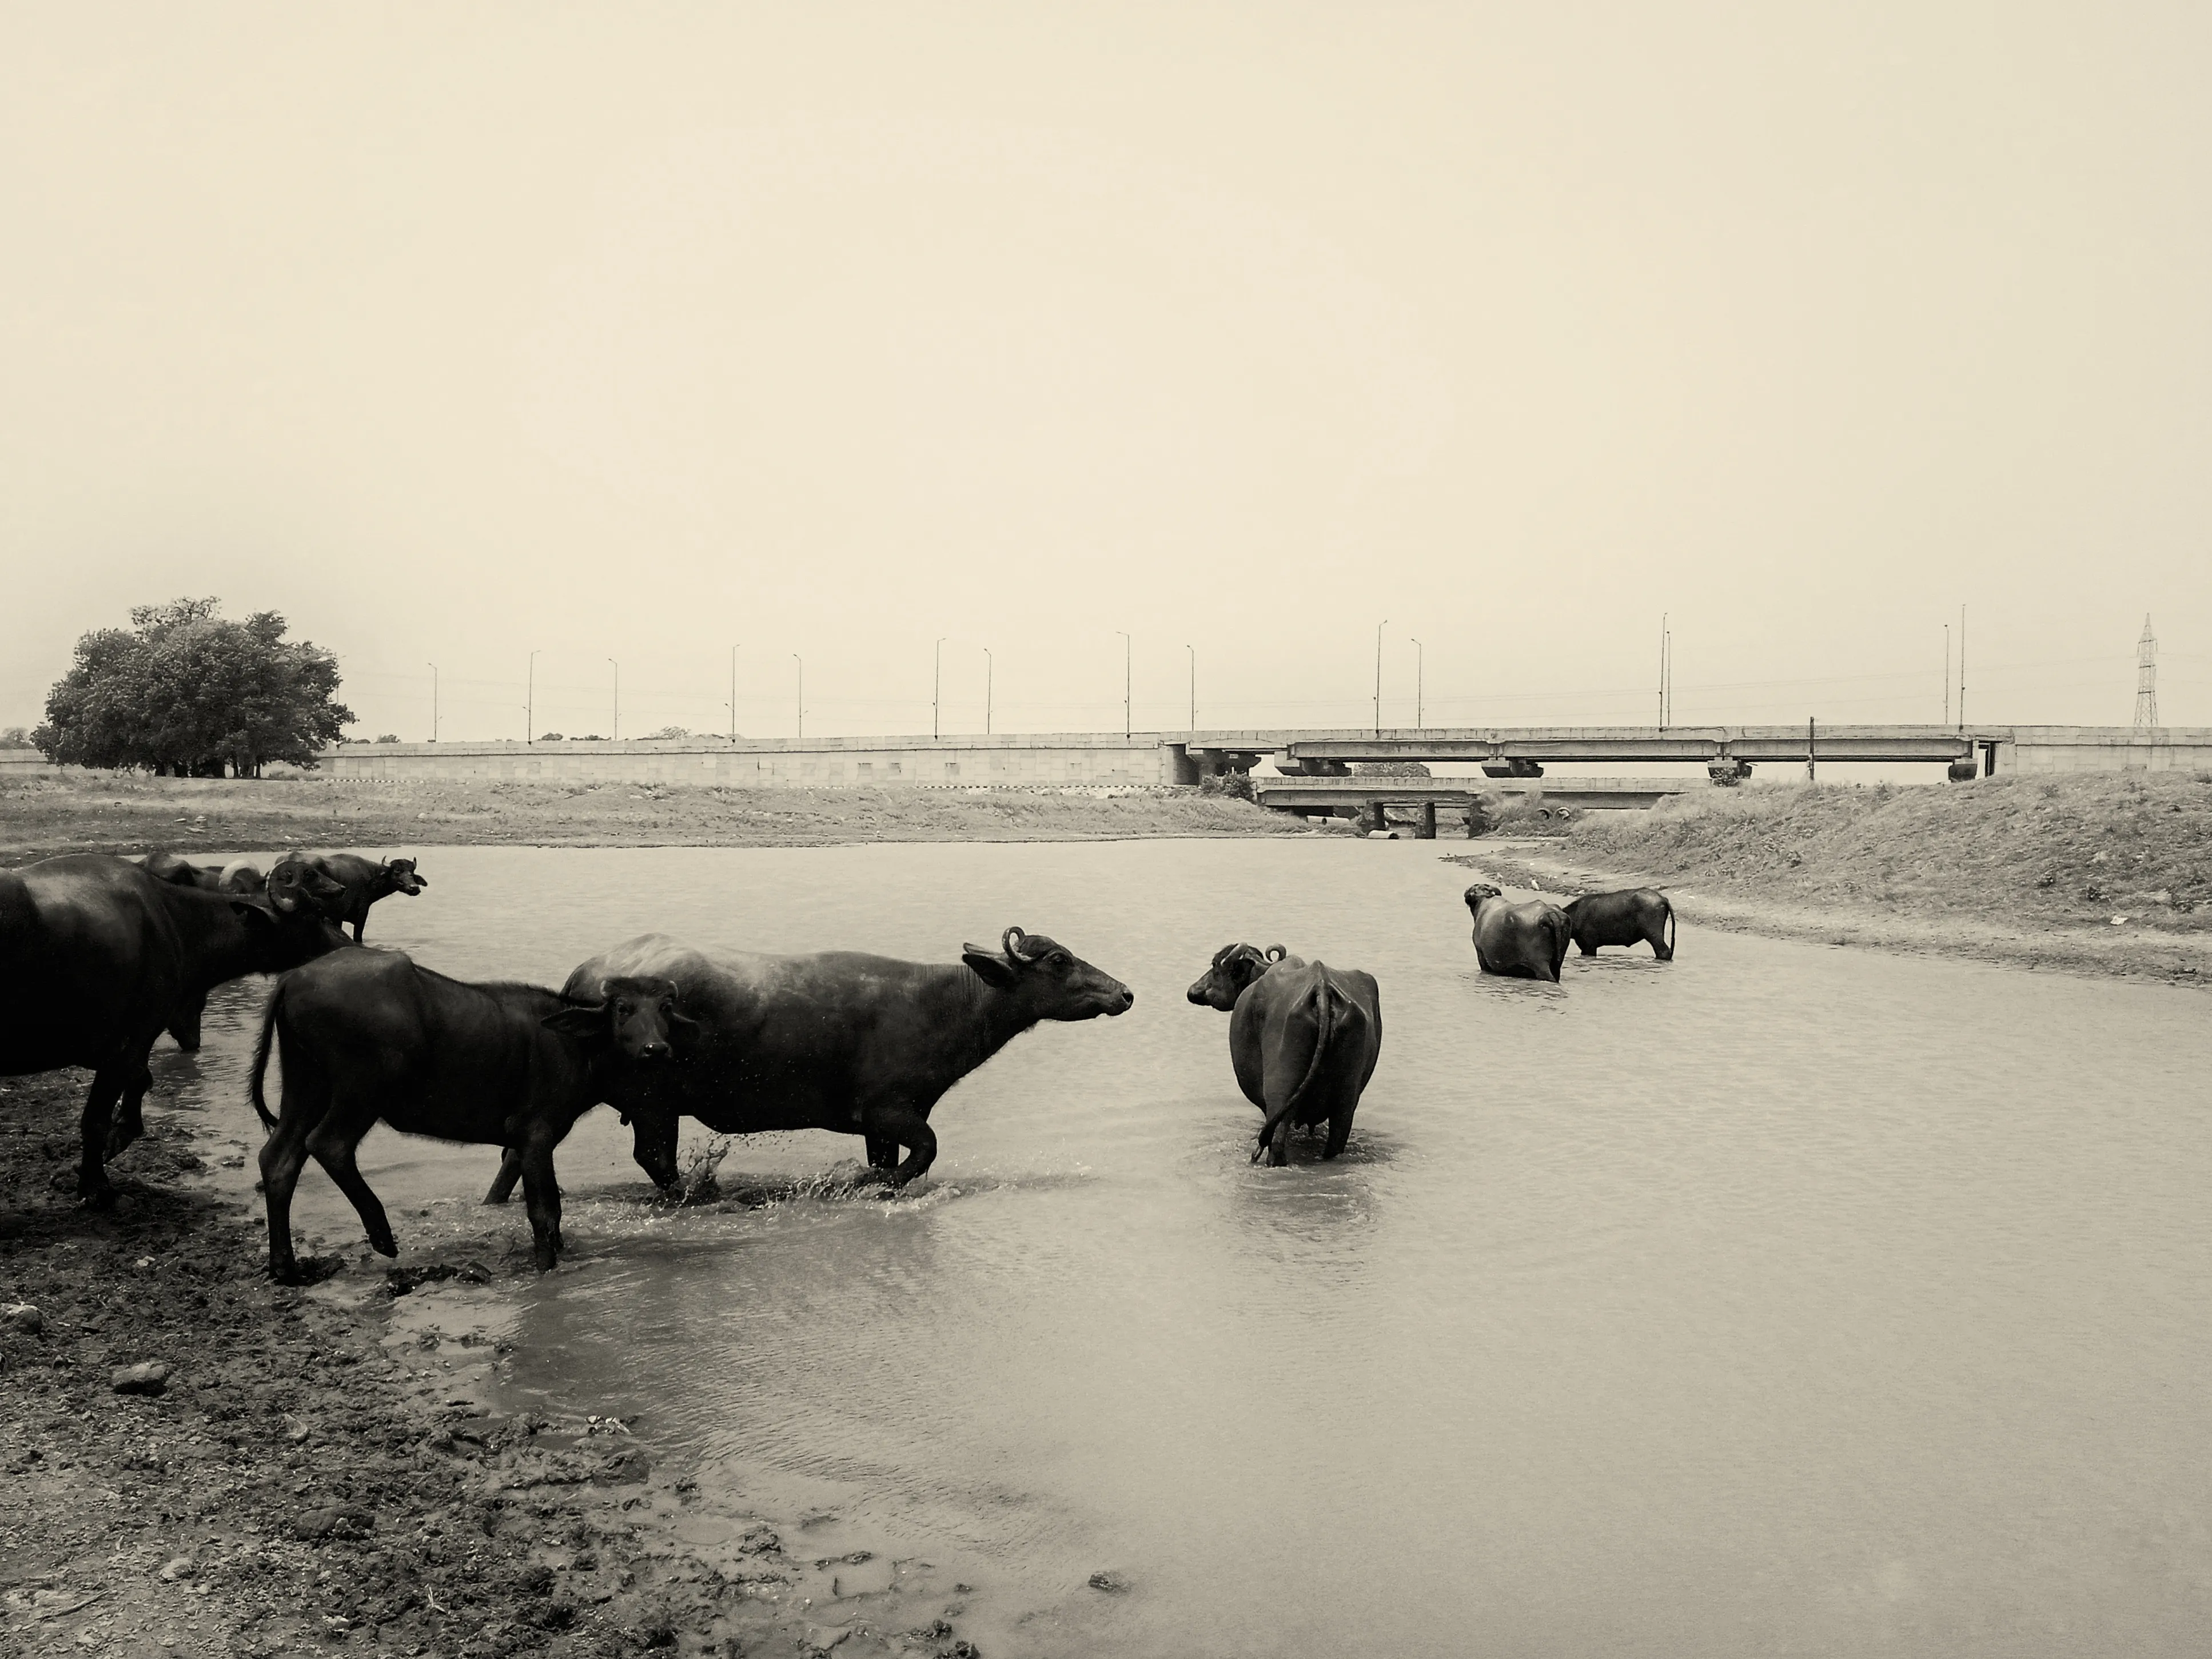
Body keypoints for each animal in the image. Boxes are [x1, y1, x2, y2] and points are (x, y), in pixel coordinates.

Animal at [1, 854, 351, 1203]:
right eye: (317, 916)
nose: (348, 945)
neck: (176, 923)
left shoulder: (120, 1050)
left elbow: (142, 1080)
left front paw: (122, 1132)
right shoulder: (129, 1044)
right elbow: (97, 1119)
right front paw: (96, 1186)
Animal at [249, 949, 690, 1279]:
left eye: (665, 1008)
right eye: (622, 1008)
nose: (655, 1048)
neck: (577, 1047)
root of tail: (293, 978)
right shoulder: (536, 1135)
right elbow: (545, 1212)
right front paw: (547, 1267)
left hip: (305, 1085)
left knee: (279, 1158)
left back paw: (284, 1266)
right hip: (361, 1090)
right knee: (329, 1144)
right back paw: (382, 1235)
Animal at [270, 853, 427, 943]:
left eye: (412, 872)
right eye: (397, 871)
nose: (414, 888)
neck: (371, 877)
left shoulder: (337, 918)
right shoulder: (361, 914)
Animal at [487, 925, 1134, 1198]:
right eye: (1059, 960)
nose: (1124, 993)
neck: (944, 1003)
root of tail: (584, 978)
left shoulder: (883, 1125)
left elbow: (894, 1159)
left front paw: (875, 1178)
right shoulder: (890, 1109)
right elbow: (924, 1152)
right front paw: (872, 1184)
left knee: (518, 1154)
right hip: (653, 1101)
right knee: (654, 1158)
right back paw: (702, 1196)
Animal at [1187, 943, 1382, 1164]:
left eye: (1215, 968)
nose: (1192, 991)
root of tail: (1322, 988)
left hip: (1280, 1090)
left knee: (1277, 1139)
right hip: (1346, 1099)